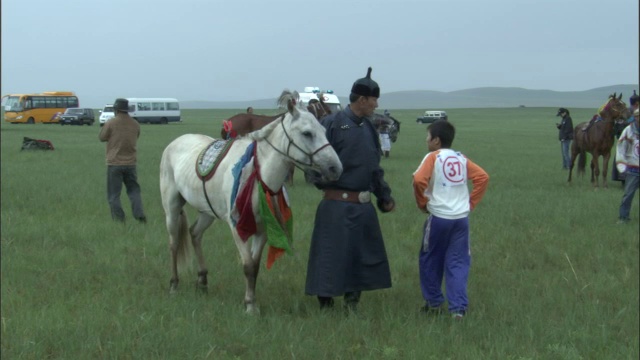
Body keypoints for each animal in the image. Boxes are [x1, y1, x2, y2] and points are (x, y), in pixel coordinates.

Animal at [159, 90, 342, 316]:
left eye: (324, 130)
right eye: (307, 133)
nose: (335, 168)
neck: (259, 175)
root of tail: (175, 142)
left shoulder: (263, 228)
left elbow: (254, 267)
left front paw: (251, 302)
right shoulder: (237, 226)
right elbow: (247, 265)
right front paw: (249, 306)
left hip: (207, 211)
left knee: (195, 234)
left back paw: (202, 281)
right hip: (172, 207)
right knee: (174, 243)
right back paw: (174, 284)